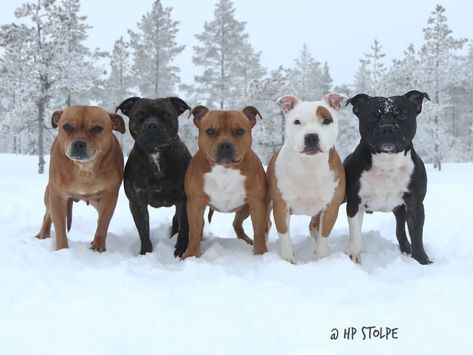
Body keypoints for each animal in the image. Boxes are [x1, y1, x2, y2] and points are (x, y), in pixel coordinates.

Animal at [35, 107, 125, 252]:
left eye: (97, 128)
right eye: (67, 127)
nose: (78, 143)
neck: (85, 169)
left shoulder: (110, 197)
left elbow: (103, 223)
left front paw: (98, 246)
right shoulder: (57, 197)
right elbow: (59, 226)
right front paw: (62, 250)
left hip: (97, 201)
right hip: (49, 194)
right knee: (47, 215)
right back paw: (43, 234)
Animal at [117, 96, 191, 258]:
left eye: (166, 114)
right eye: (139, 114)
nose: (152, 125)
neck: (155, 153)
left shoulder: (184, 199)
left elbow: (185, 227)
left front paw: (181, 250)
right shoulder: (137, 202)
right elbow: (143, 230)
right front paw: (146, 252)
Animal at [183, 105, 268, 258]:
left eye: (240, 131)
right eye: (210, 131)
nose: (225, 145)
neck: (225, 169)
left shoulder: (257, 203)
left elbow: (258, 231)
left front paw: (261, 253)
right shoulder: (195, 203)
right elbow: (193, 231)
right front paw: (191, 255)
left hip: (245, 209)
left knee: (237, 224)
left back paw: (247, 242)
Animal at [266, 93, 346, 262]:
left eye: (327, 120)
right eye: (297, 122)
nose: (311, 137)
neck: (309, 167)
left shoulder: (331, 208)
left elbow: (324, 236)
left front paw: (321, 259)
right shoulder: (281, 205)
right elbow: (284, 233)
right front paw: (287, 259)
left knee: (314, 228)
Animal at [342, 90, 432, 266]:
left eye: (403, 115)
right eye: (371, 115)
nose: (387, 128)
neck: (387, 162)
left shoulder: (415, 205)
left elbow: (417, 235)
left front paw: (422, 260)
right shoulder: (355, 202)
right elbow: (355, 231)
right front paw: (354, 254)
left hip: (401, 210)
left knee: (400, 230)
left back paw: (406, 249)